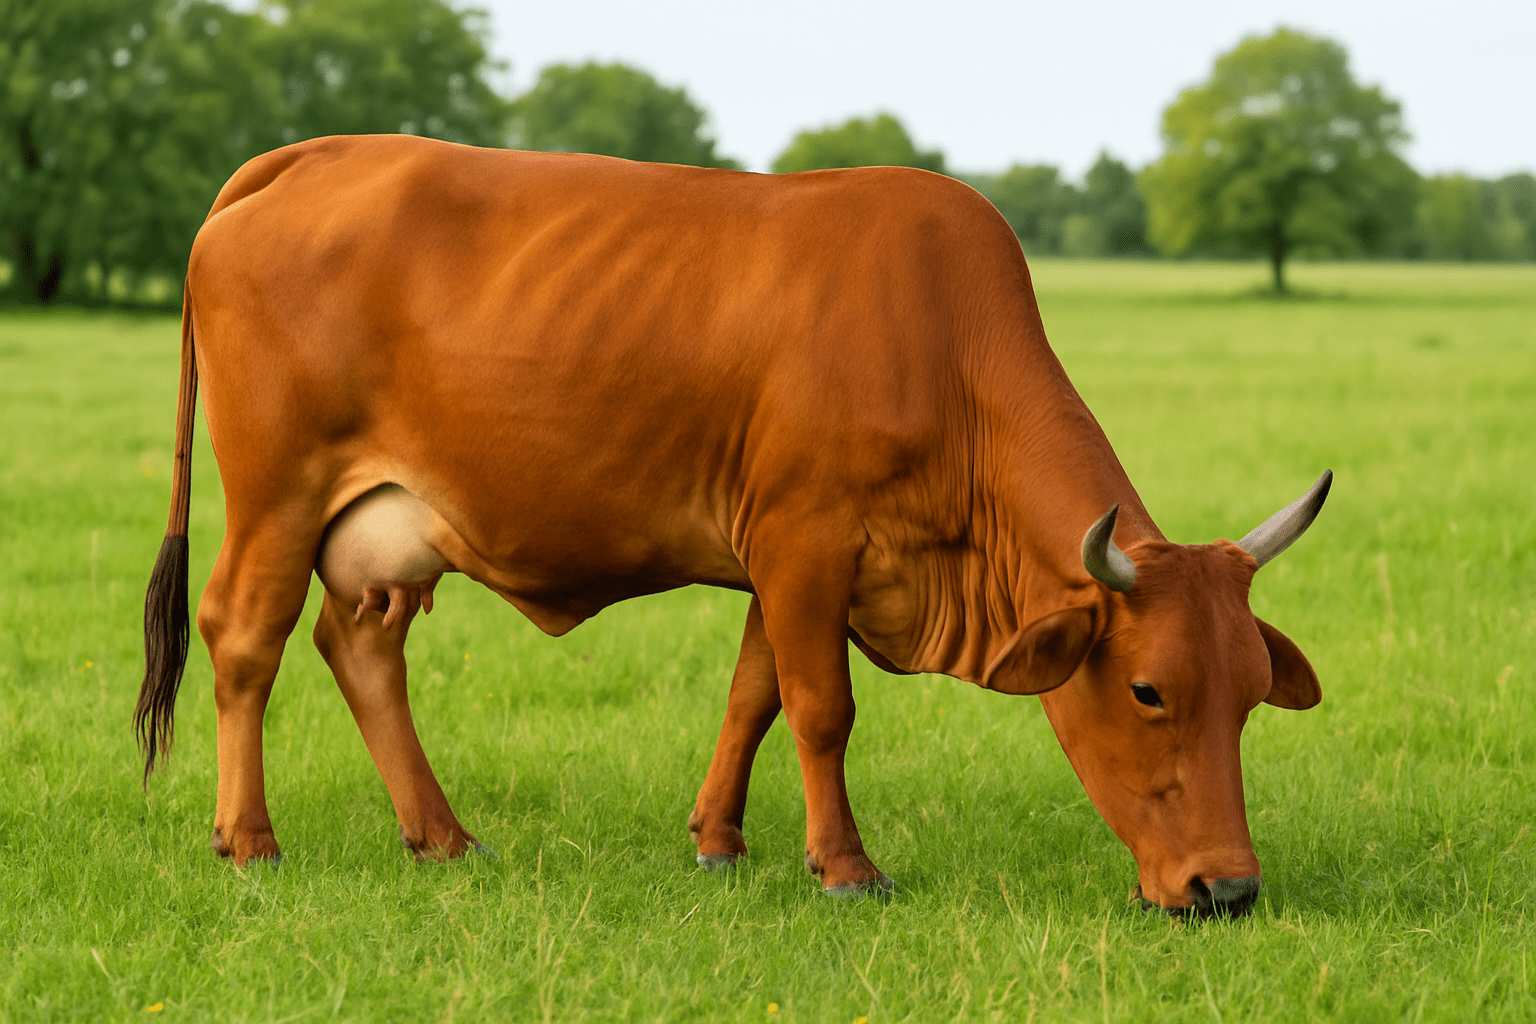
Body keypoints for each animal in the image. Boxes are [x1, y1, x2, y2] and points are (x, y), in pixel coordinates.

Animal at [137, 134, 1329, 917]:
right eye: (1148, 691)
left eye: (1251, 695)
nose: (1228, 887)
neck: (946, 352)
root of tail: (310, 157)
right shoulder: (807, 540)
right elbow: (821, 708)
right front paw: (846, 867)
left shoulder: (787, 561)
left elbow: (754, 694)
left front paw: (719, 841)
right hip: (279, 496)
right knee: (244, 638)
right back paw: (249, 841)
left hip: (386, 534)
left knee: (359, 647)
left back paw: (442, 837)